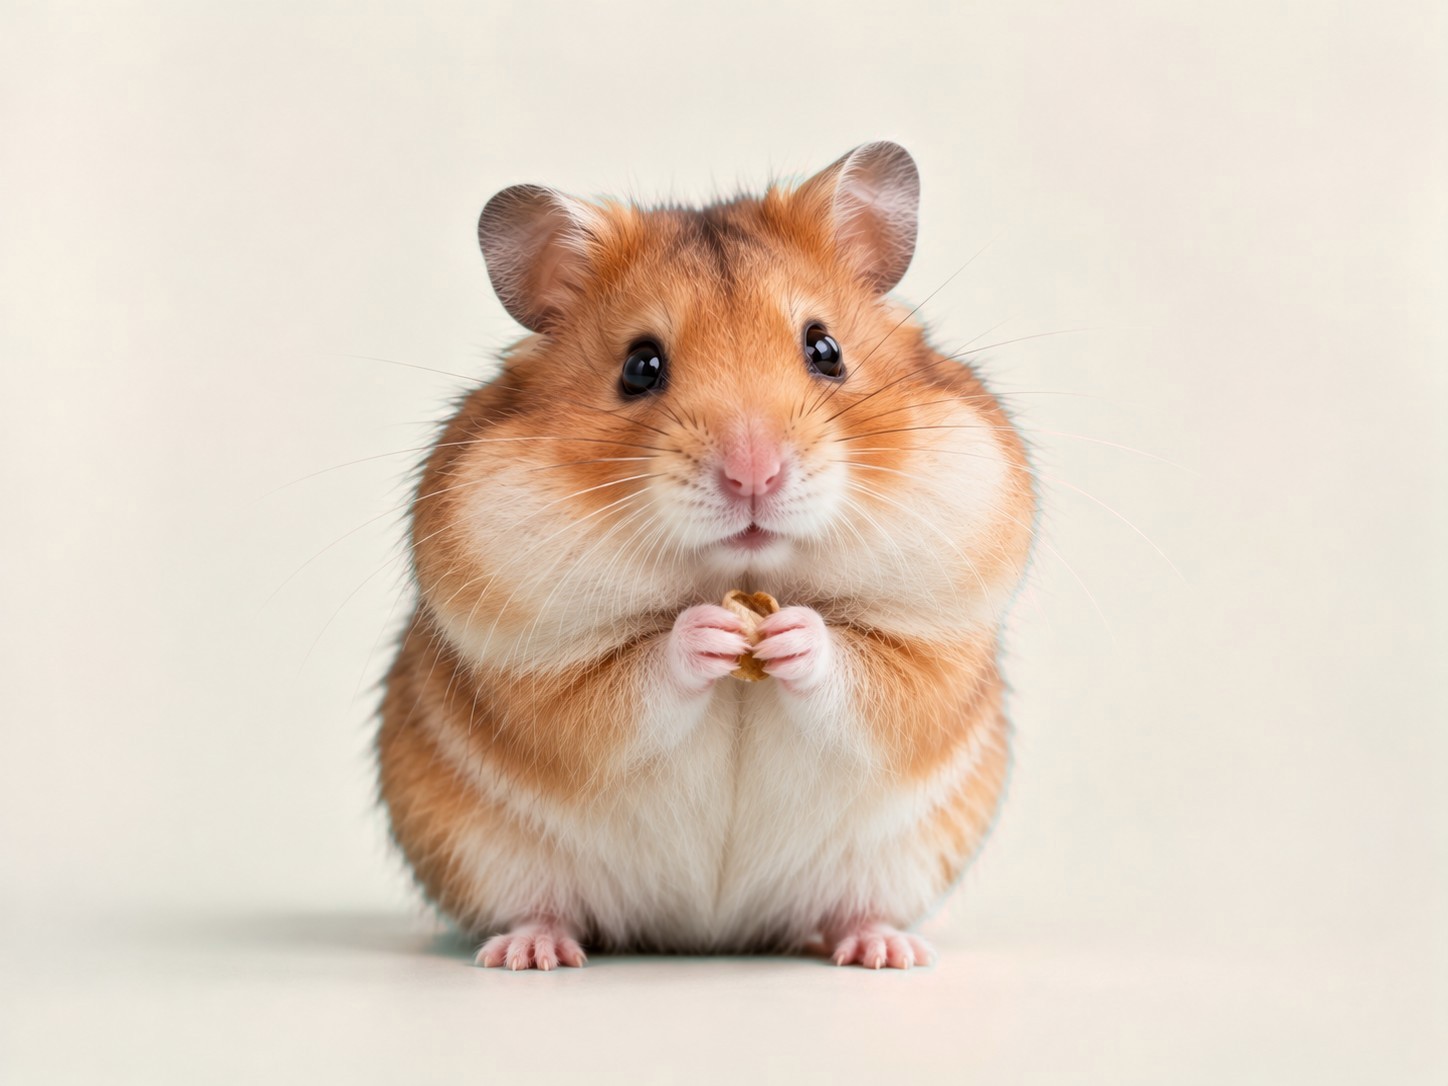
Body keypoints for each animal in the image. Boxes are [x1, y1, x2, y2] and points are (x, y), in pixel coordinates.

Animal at [376, 142, 1036, 970]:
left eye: (826, 350)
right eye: (640, 366)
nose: (753, 473)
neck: (742, 575)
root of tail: (706, 931)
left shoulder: (931, 647)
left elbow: (864, 671)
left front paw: (789, 633)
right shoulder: (540, 671)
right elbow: (635, 675)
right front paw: (709, 633)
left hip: (897, 860)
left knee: (852, 910)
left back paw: (886, 951)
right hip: (489, 855)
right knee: (541, 907)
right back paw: (529, 953)